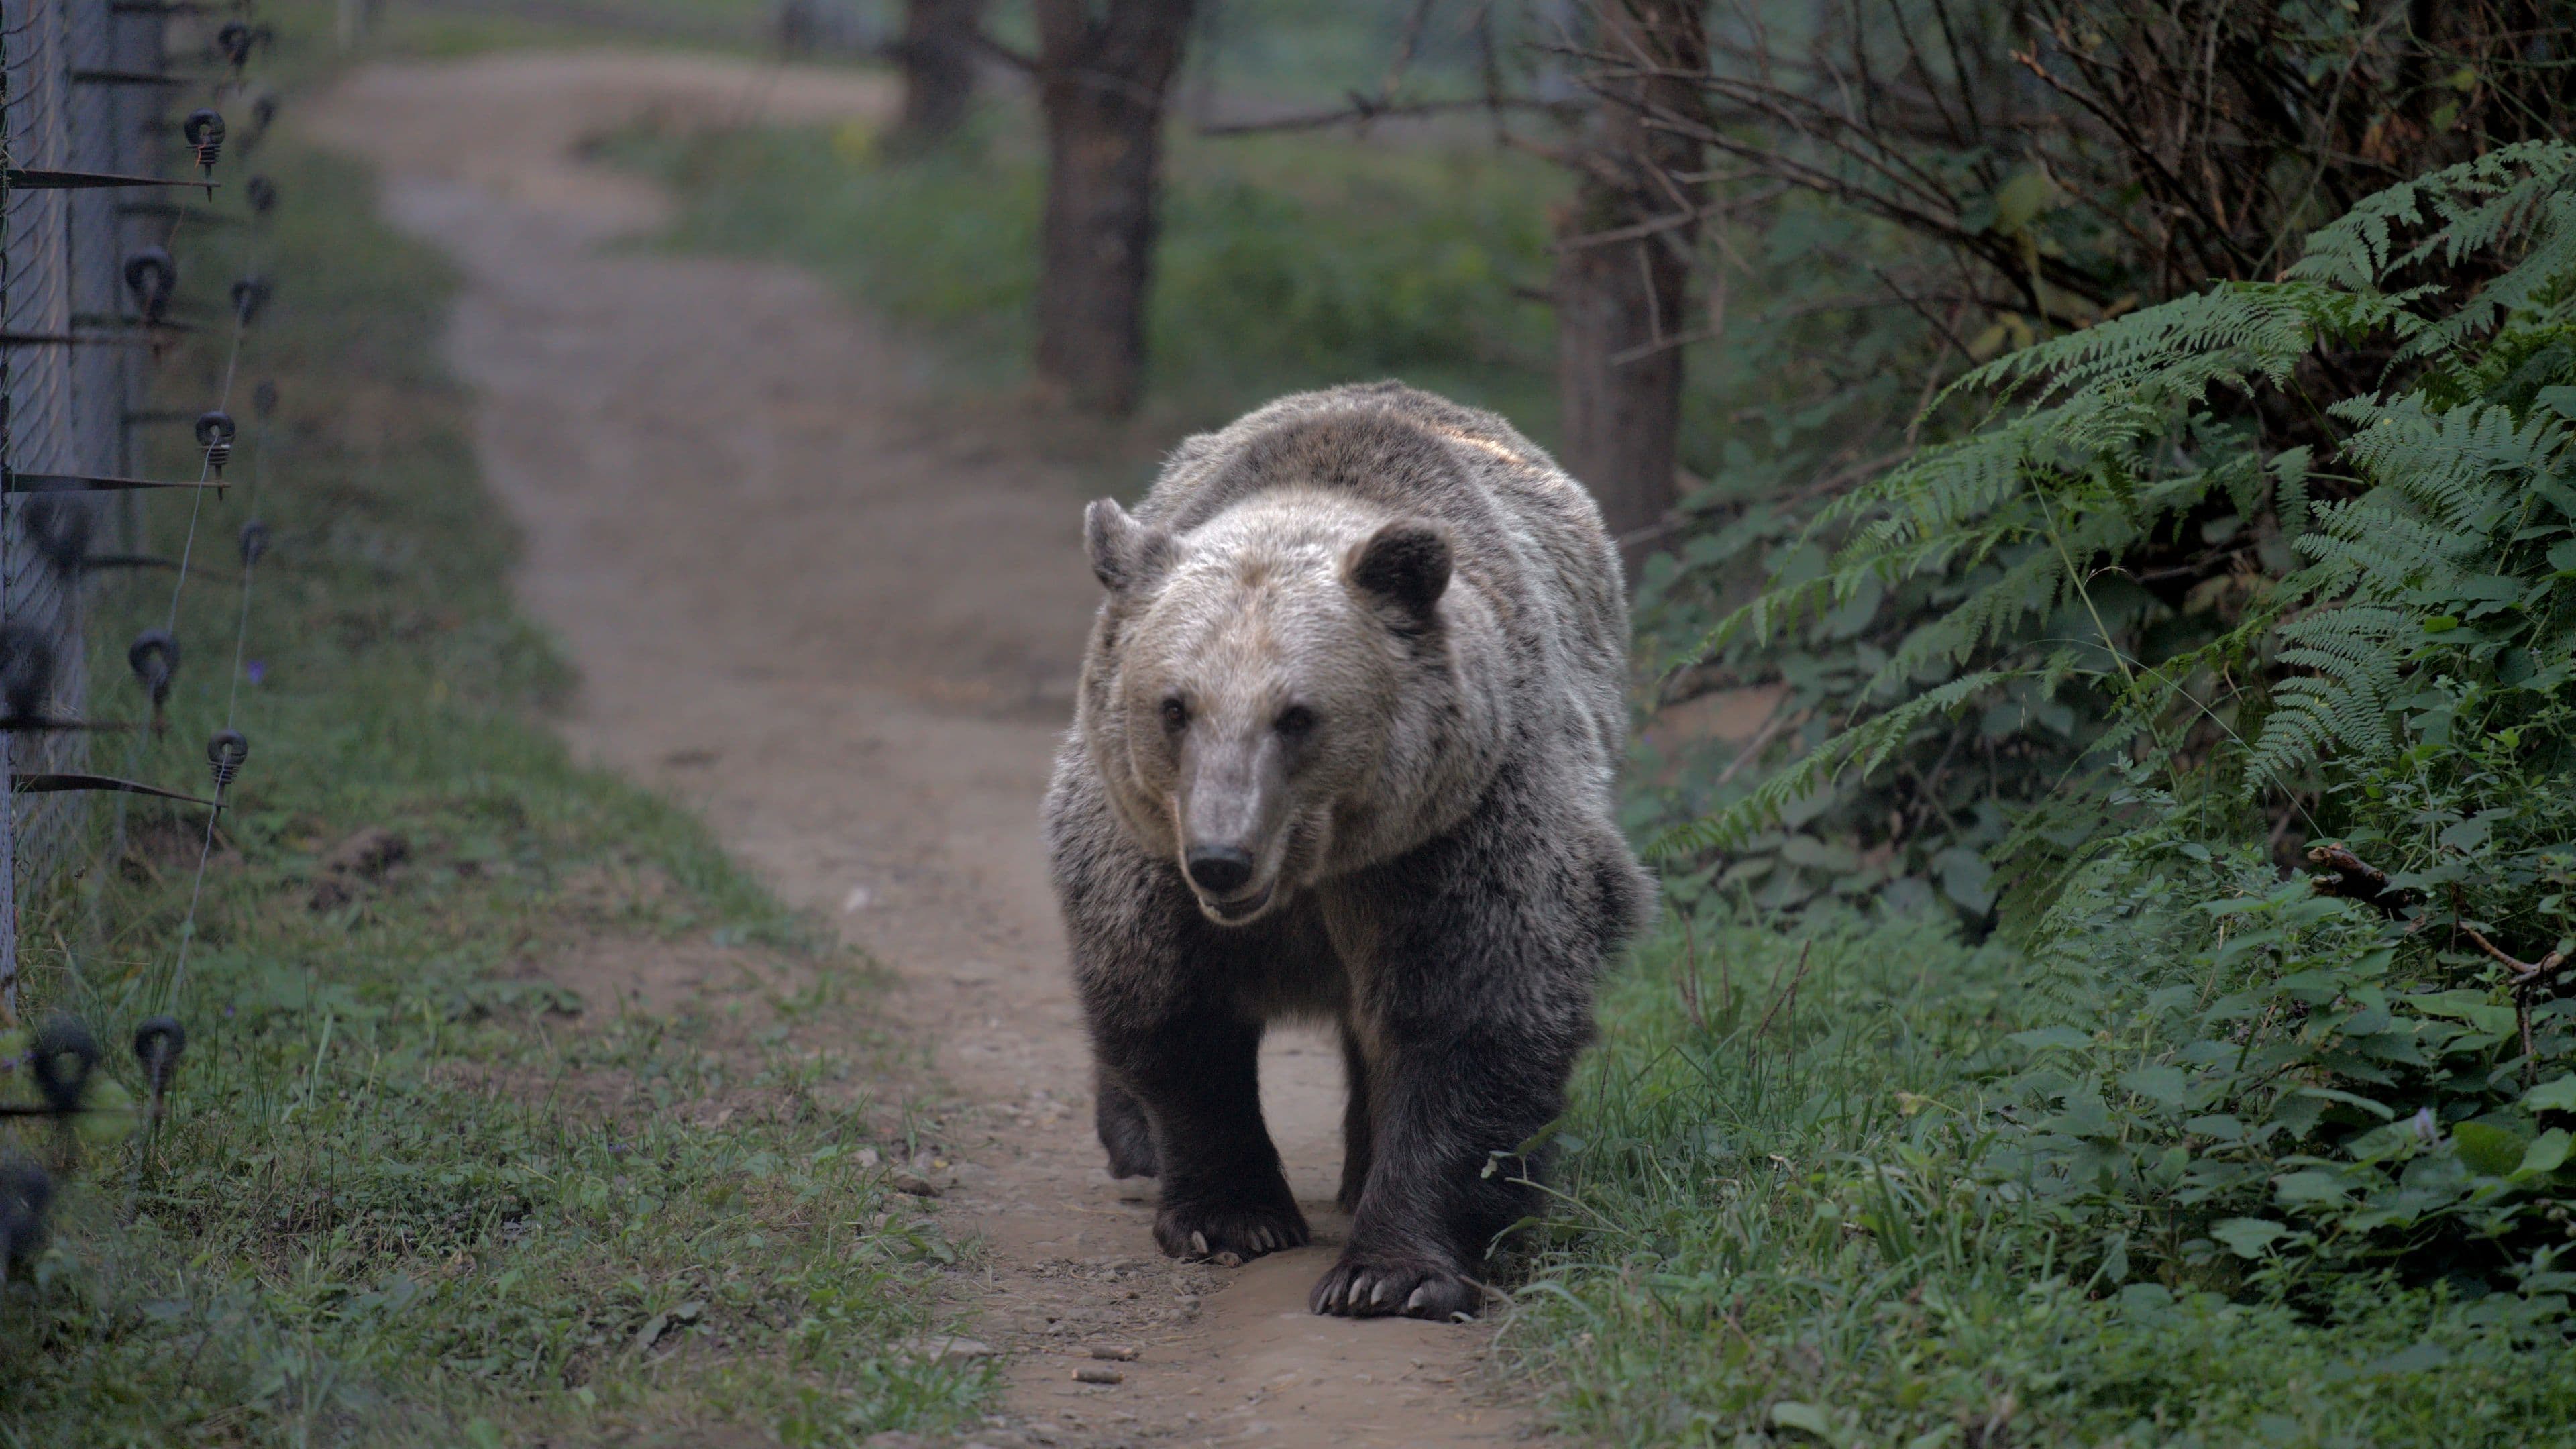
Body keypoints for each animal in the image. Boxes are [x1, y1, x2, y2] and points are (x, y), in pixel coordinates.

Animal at [1042, 382, 1654, 1320]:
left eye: (1298, 716)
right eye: (1175, 706)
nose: (1222, 858)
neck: (1314, 871)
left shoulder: (1456, 828)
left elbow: (1472, 1009)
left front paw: (1390, 1270)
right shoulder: (1143, 846)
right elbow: (1171, 1004)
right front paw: (1232, 1214)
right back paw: (1134, 1140)